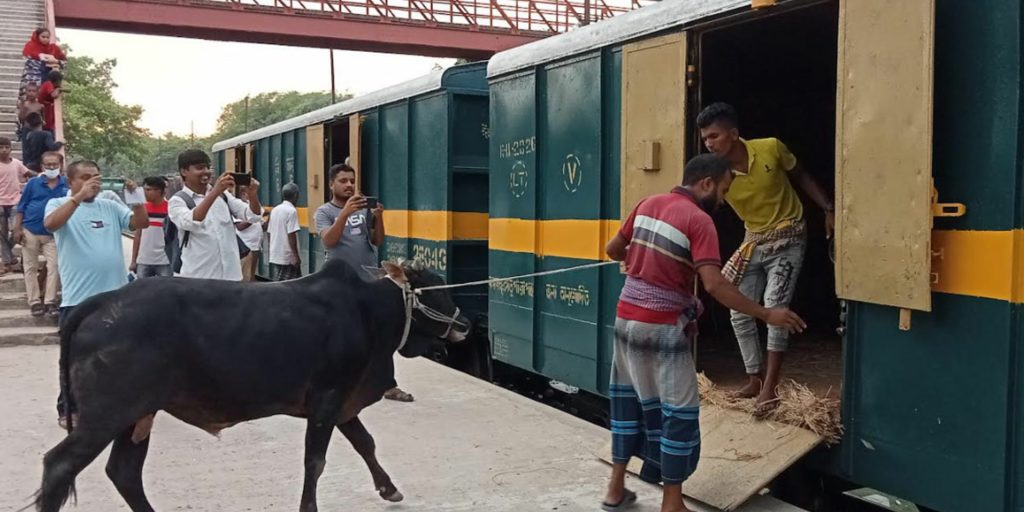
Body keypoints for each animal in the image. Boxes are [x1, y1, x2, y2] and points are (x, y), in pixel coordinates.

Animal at [31, 258, 470, 512]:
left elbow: (366, 444)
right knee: (59, 466)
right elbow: (316, 461)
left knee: (124, 472)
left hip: (138, 414)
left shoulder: (342, 401)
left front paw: (389, 489)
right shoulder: (328, 398)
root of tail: (100, 302)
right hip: (106, 415)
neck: (368, 309)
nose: (465, 324)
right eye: (435, 287)